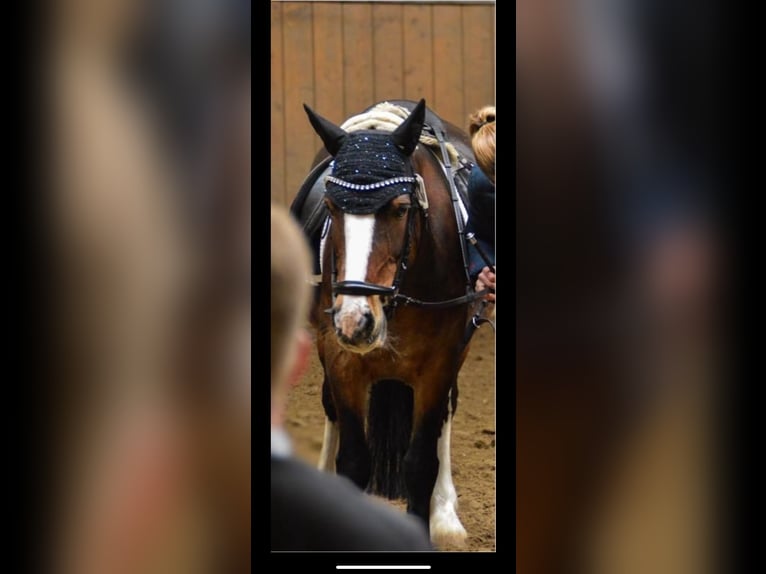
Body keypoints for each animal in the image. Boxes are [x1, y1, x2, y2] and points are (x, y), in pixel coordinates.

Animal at [292, 100, 488, 548]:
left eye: (400, 209)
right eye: (332, 208)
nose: (356, 321)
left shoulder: (439, 365)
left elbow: (420, 464)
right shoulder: (342, 360)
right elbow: (352, 462)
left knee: (448, 415)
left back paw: (445, 512)